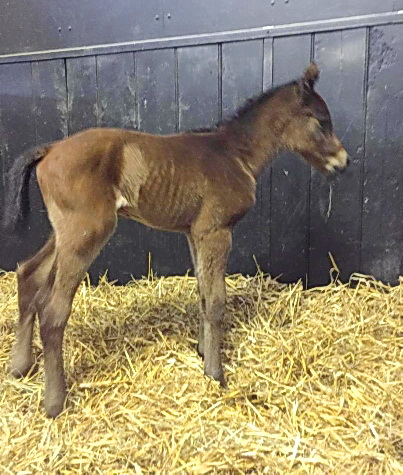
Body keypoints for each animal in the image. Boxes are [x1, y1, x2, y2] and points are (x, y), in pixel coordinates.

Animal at [3, 62, 348, 416]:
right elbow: (216, 300)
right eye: (321, 121)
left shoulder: (195, 233)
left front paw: (203, 352)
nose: (342, 162)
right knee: (53, 310)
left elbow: (203, 292)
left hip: (65, 232)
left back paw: (20, 366)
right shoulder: (216, 231)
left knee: (28, 273)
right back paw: (55, 402)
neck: (235, 154)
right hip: (86, 233)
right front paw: (216, 373)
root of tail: (50, 149)